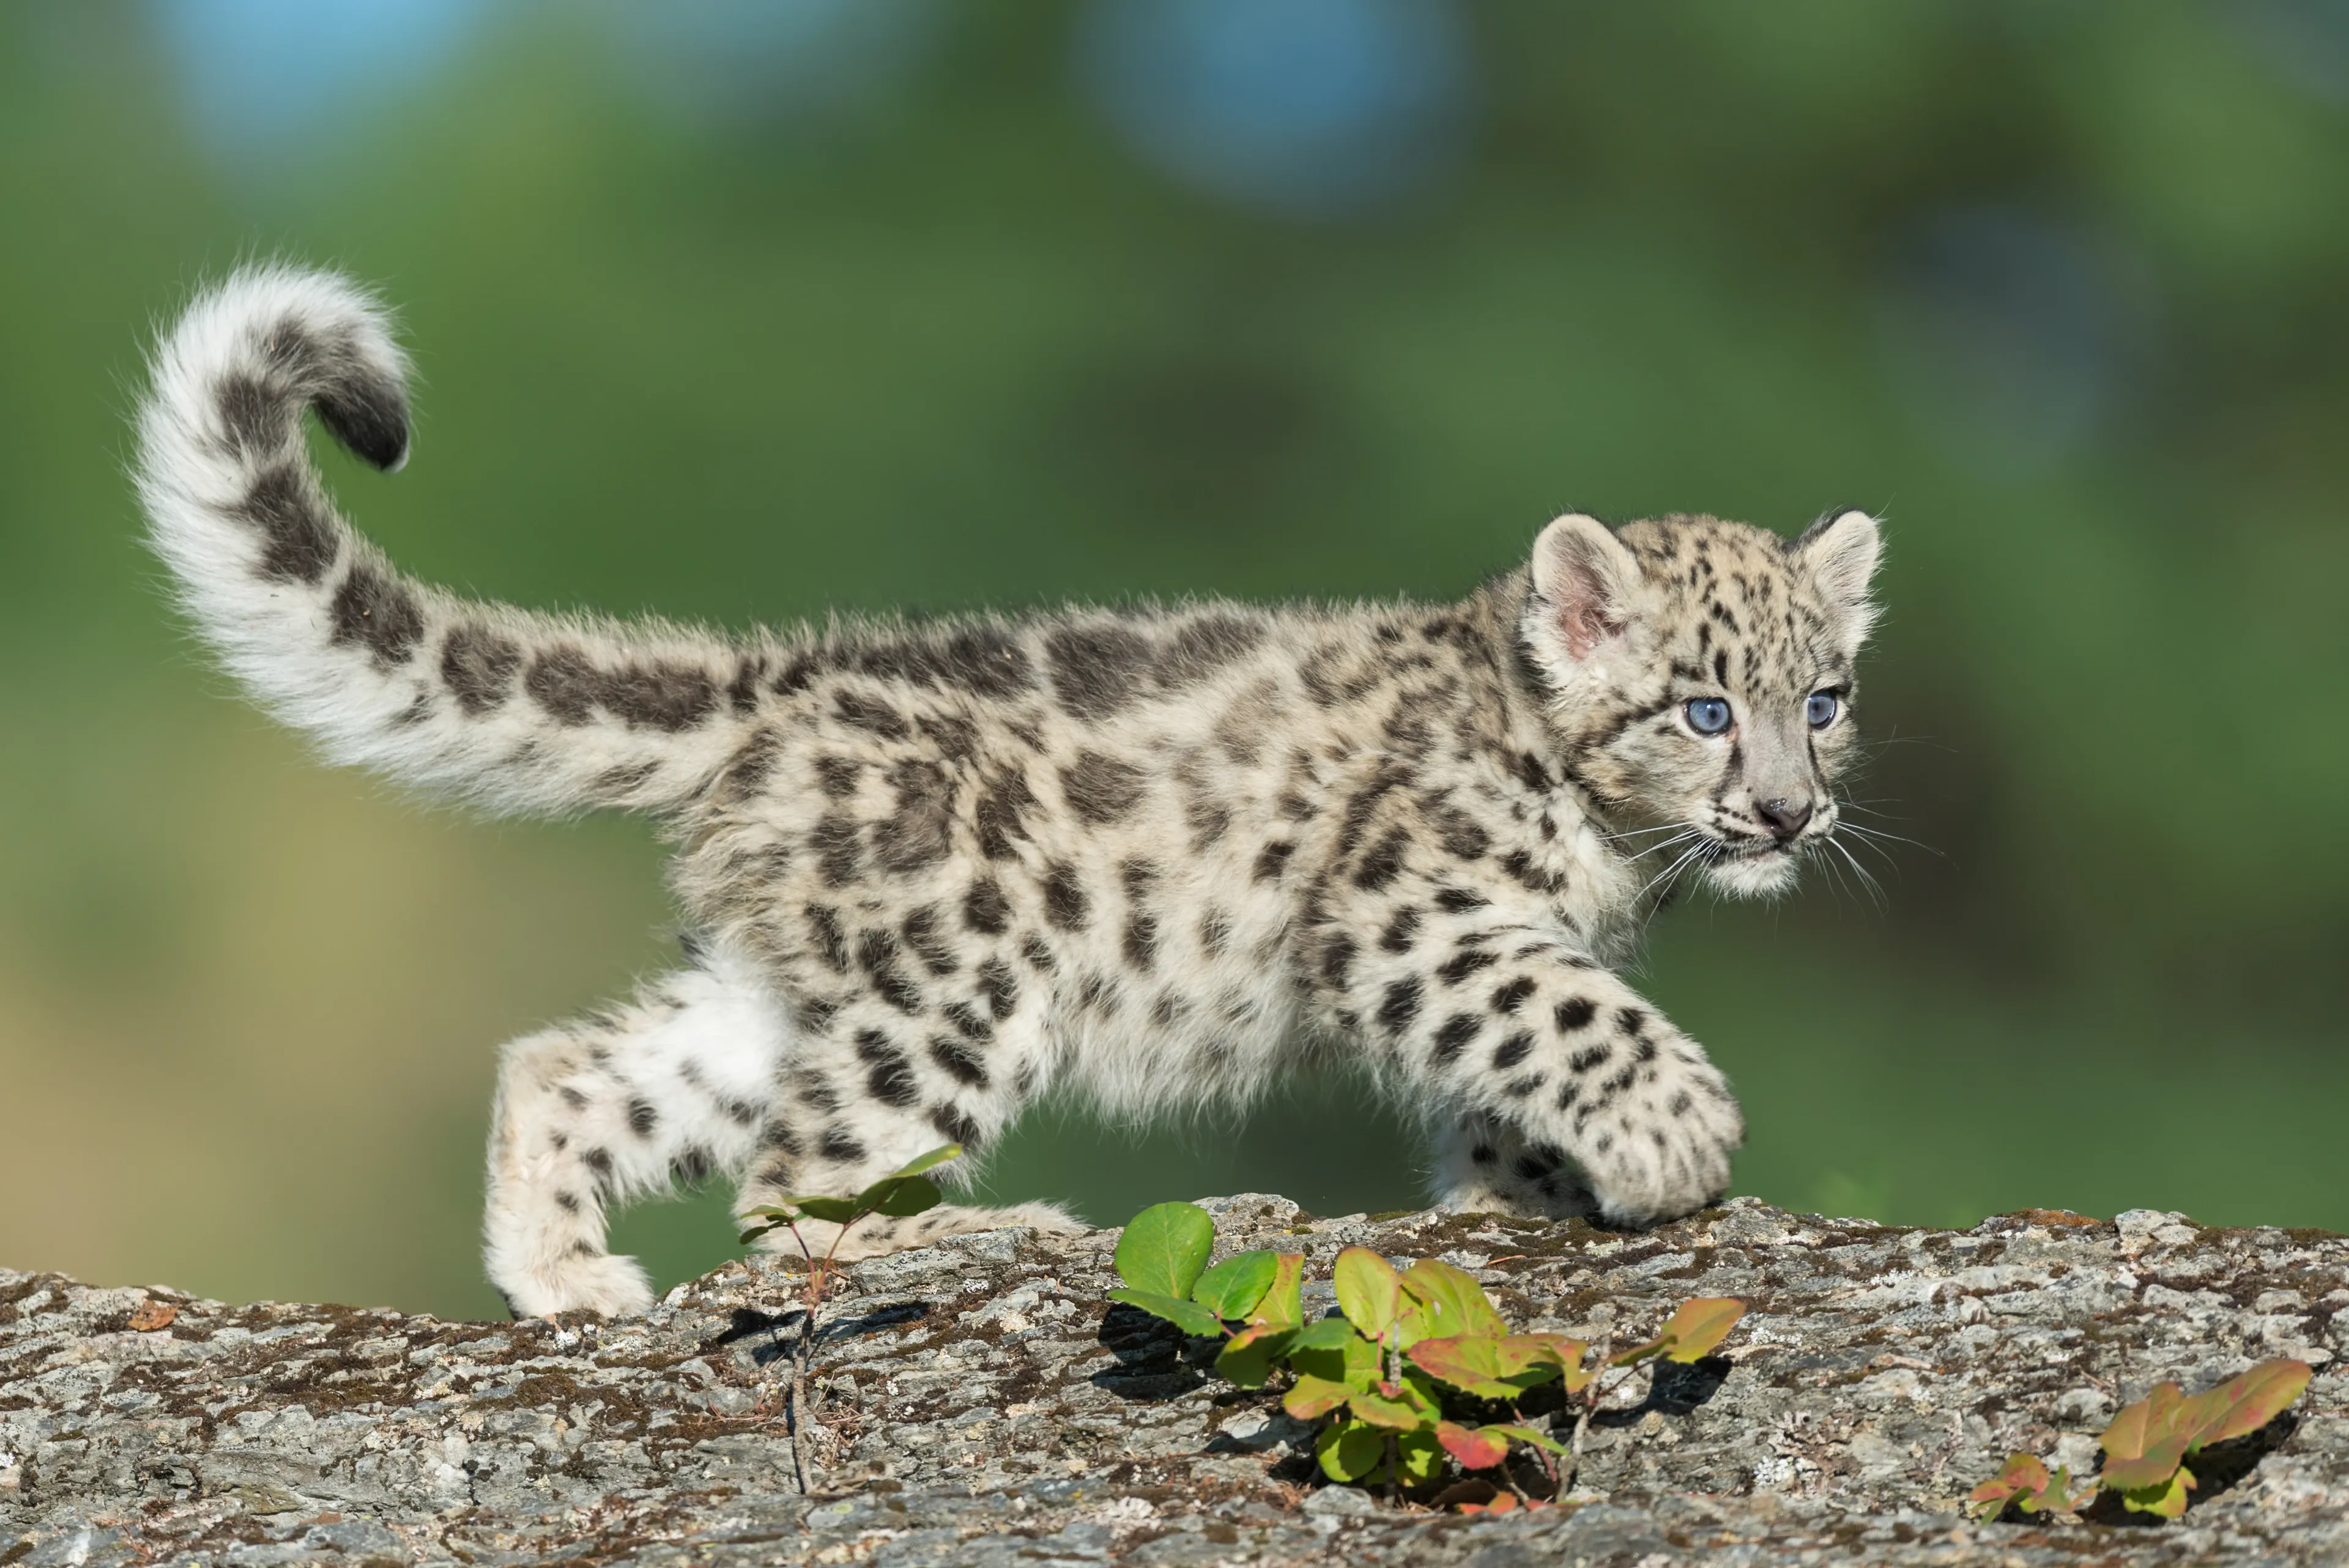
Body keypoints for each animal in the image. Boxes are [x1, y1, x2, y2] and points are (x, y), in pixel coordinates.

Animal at [135, 267, 1883, 1318]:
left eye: (1825, 701)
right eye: (1704, 708)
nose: (1789, 814)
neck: (1607, 849)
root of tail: (777, 681)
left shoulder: (1482, 940)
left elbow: (1509, 1077)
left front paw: (1525, 1196)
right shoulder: (1416, 916)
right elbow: (1566, 1015)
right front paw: (1676, 1137)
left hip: (796, 988)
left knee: (576, 1071)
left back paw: (565, 1280)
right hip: (958, 981)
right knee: (798, 1191)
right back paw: (992, 1230)